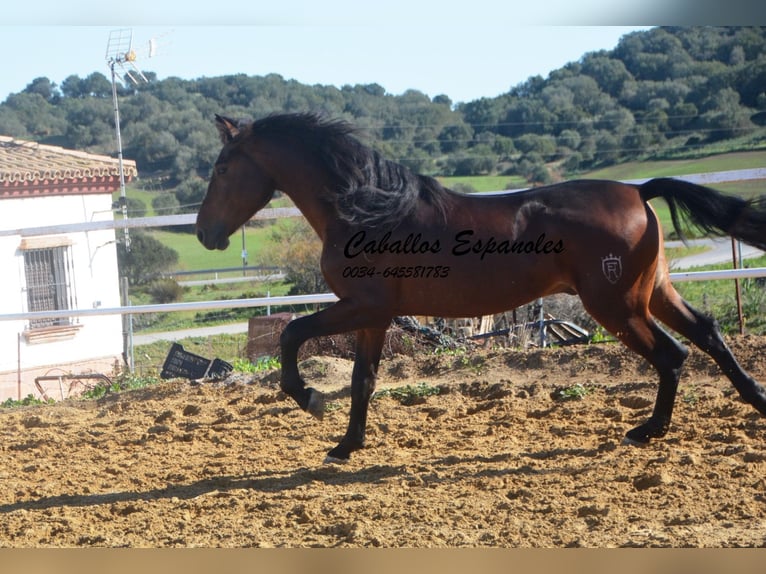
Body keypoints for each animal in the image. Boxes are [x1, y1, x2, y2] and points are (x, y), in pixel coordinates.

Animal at [196, 112, 766, 464]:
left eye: (222, 168)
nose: (204, 234)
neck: (367, 210)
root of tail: (638, 190)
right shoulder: (375, 316)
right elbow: (362, 381)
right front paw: (346, 447)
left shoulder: (359, 306)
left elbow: (291, 334)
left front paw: (310, 400)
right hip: (653, 294)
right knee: (708, 335)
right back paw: (755, 403)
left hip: (617, 307)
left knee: (673, 355)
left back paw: (646, 431)